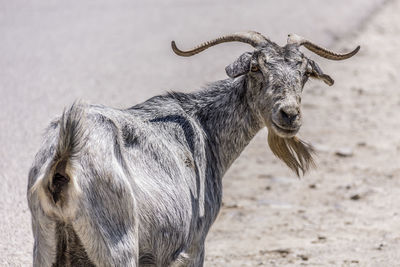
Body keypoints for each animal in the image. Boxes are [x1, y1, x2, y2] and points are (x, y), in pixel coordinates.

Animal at [27, 30, 360, 266]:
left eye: (305, 72)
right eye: (256, 67)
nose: (289, 114)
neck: (204, 126)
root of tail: (64, 160)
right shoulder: (193, 245)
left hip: (45, 244)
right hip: (116, 244)